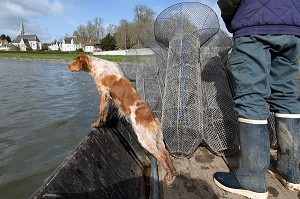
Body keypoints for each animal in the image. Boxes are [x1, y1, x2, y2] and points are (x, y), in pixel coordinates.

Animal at [67, 54, 176, 182]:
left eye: (74, 62)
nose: (67, 66)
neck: (98, 66)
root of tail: (153, 118)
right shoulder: (112, 98)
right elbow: (108, 111)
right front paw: (106, 120)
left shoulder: (103, 93)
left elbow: (101, 112)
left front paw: (97, 124)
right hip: (158, 138)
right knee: (166, 154)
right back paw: (173, 171)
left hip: (145, 140)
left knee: (161, 156)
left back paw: (169, 175)